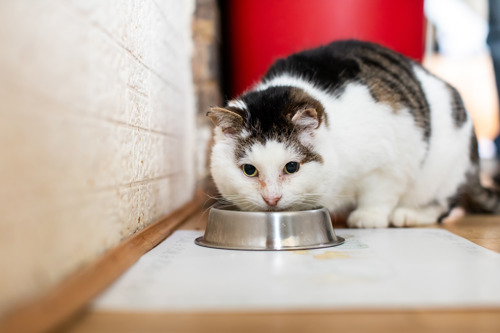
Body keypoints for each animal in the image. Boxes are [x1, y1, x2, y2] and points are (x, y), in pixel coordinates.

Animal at [206, 38, 496, 226]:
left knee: (442, 205)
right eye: (249, 170)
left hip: (443, 171)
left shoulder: (390, 161)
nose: (271, 198)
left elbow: (380, 192)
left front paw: (369, 217)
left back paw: (408, 215)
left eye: (291, 167)